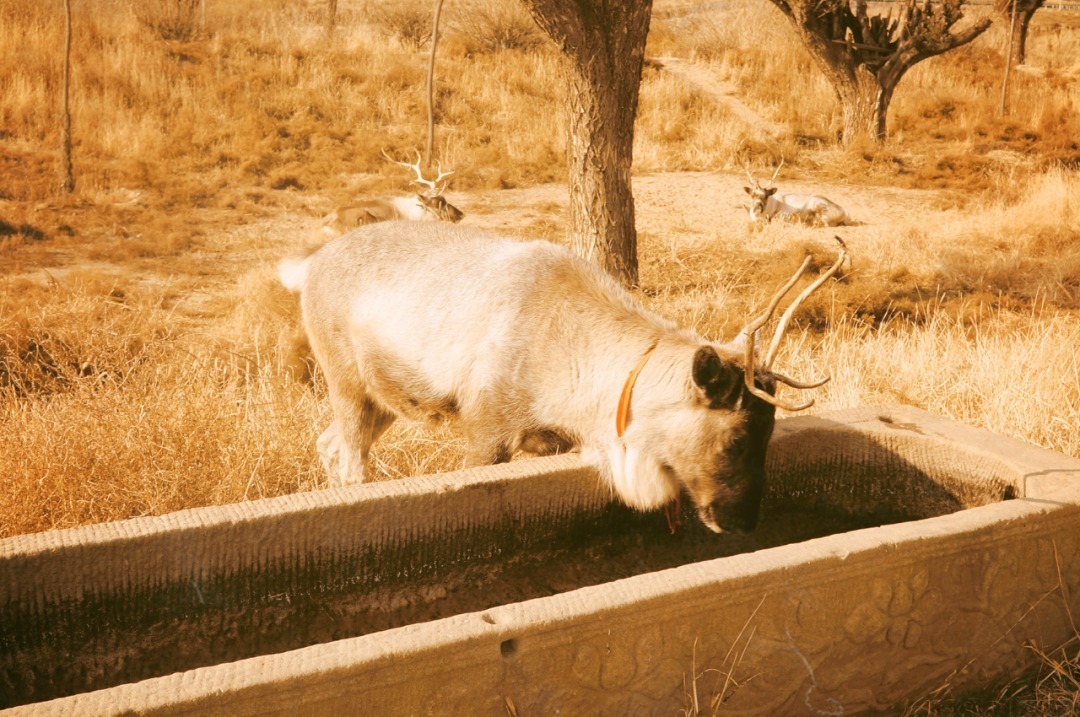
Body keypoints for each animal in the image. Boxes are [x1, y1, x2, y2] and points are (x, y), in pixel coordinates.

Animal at [276, 221, 842, 535]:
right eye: (737, 438)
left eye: (770, 434)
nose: (743, 521)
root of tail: (305, 267)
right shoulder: (487, 430)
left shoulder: (551, 440)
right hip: (347, 384)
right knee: (350, 461)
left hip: (382, 401)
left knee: (328, 444)